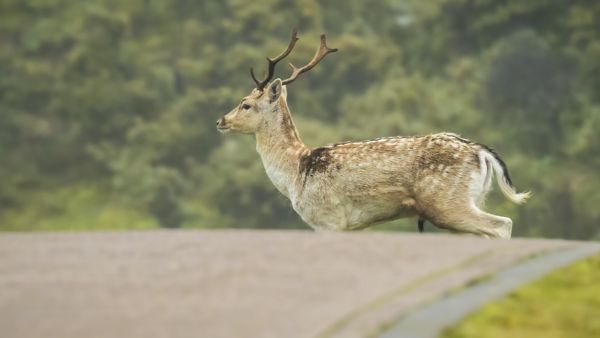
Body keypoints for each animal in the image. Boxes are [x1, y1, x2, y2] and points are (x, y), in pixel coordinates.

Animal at [216, 30, 528, 239]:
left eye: (245, 103)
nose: (221, 120)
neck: (296, 172)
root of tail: (482, 152)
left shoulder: (327, 219)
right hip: (471, 200)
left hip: (448, 202)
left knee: (502, 224)